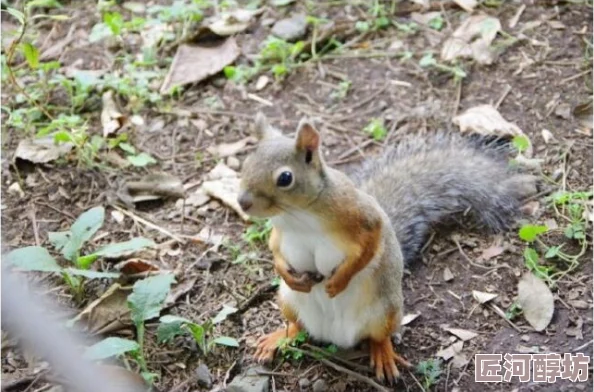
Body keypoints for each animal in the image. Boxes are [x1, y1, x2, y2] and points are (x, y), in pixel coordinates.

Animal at [236, 112, 536, 384]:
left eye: (285, 178)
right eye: (246, 162)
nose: (242, 202)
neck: (298, 214)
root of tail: (336, 337)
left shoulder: (361, 215)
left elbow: (371, 244)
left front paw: (339, 281)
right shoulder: (279, 233)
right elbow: (274, 248)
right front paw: (286, 272)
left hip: (385, 312)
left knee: (379, 337)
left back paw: (384, 355)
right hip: (287, 302)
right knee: (297, 327)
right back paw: (277, 338)